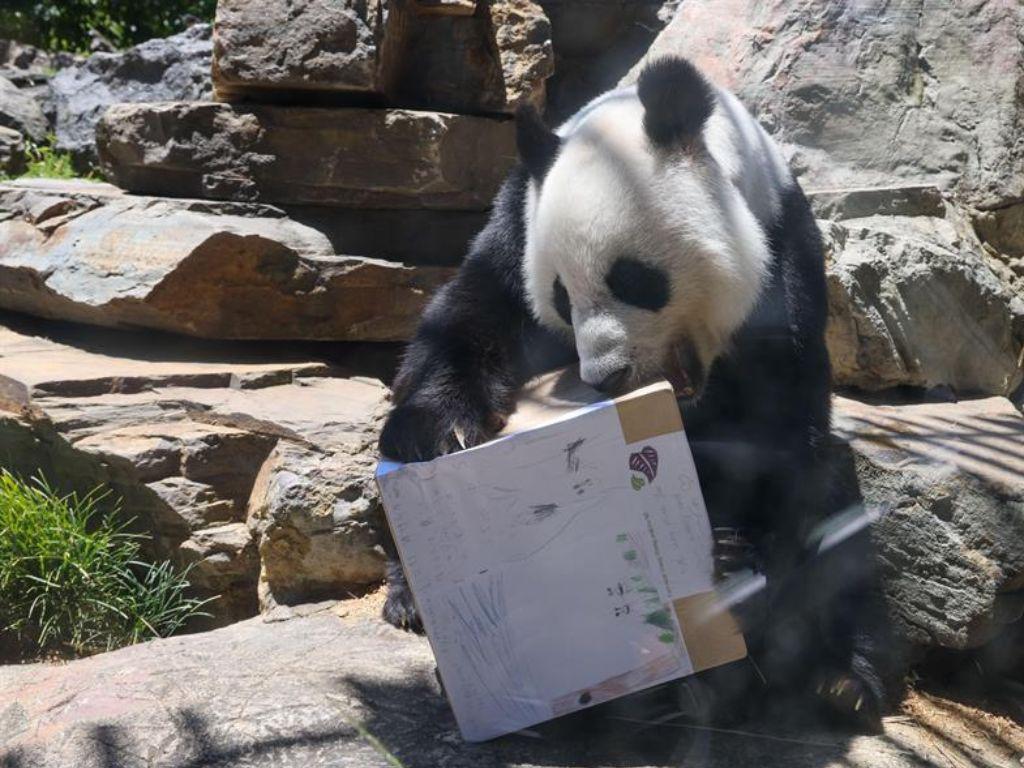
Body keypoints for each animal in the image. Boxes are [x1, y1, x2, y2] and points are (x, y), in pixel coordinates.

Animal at [379, 57, 894, 730]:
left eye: (633, 279)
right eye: (561, 296)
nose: (604, 376)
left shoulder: (784, 253)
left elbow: (779, 430)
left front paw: (731, 567)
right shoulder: (518, 223)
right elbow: (470, 315)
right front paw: (437, 433)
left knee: (835, 504)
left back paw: (840, 680)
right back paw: (411, 602)